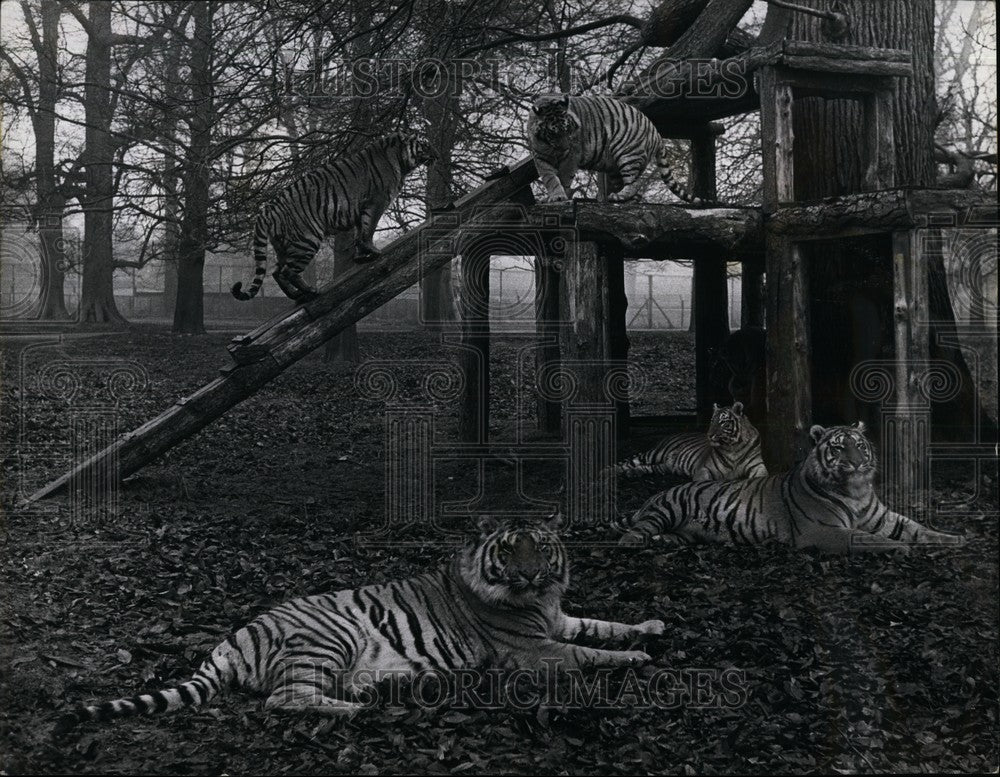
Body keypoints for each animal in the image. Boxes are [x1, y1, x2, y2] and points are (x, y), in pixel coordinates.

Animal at [55, 516, 663, 732]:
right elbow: (590, 653)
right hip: (330, 637)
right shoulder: (531, 650)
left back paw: (380, 690)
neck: (538, 602)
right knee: (285, 699)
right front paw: (637, 658)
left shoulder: (558, 619)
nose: (532, 574)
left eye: (540, 546)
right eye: (509, 551)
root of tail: (231, 639)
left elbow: (600, 624)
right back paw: (357, 709)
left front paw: (651, 626)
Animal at [231, 132, 436, 302]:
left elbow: (359, 233)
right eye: (425, 145)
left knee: (276, 272)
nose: (436, 155)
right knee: (287, 271)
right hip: (307, 239)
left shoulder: (362, 210)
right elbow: (368, 229)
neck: (399, 158)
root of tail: (267, 210)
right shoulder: (376, 202)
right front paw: (374, 251)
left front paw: (361, 257)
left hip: (283, 244)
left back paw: (297, 295)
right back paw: (310, 291)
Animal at [526, 93, 719, 205]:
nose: (565, 147)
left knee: (634, 183)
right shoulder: (540, 156)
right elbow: (550, 177)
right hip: (614, 168)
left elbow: (564, 176)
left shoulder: (571, 157)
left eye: (568, 131)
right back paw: (628, 199)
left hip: (627, 154)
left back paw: (618, 197)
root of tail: (656, 131)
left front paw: (561, 195)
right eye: (554, 134)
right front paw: (554, 195)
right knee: (633, 187)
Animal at [613, 403, 768, 482]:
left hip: (665, 466)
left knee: (649, 467)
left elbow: (762, 476)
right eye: (712, 421)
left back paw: (633, 473)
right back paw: (611, 473)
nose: (709, 435)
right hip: (655, 454)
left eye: (723, 422)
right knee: (626, 463)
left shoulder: (757, 465)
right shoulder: (704, 469)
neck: (733, 446)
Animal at [618, 422, 966, 554]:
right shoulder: (823, 530)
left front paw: (956, 538)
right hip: (666, 509)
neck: (856, 491)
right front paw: (900, 548)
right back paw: (632, 543)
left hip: (684, 532)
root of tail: (654, 495)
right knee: (635, 531)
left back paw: (662, 542)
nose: (856, 464)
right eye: (838, 448)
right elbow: (868, 537)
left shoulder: (881, 516)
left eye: (859, 445)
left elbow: (917, 527)